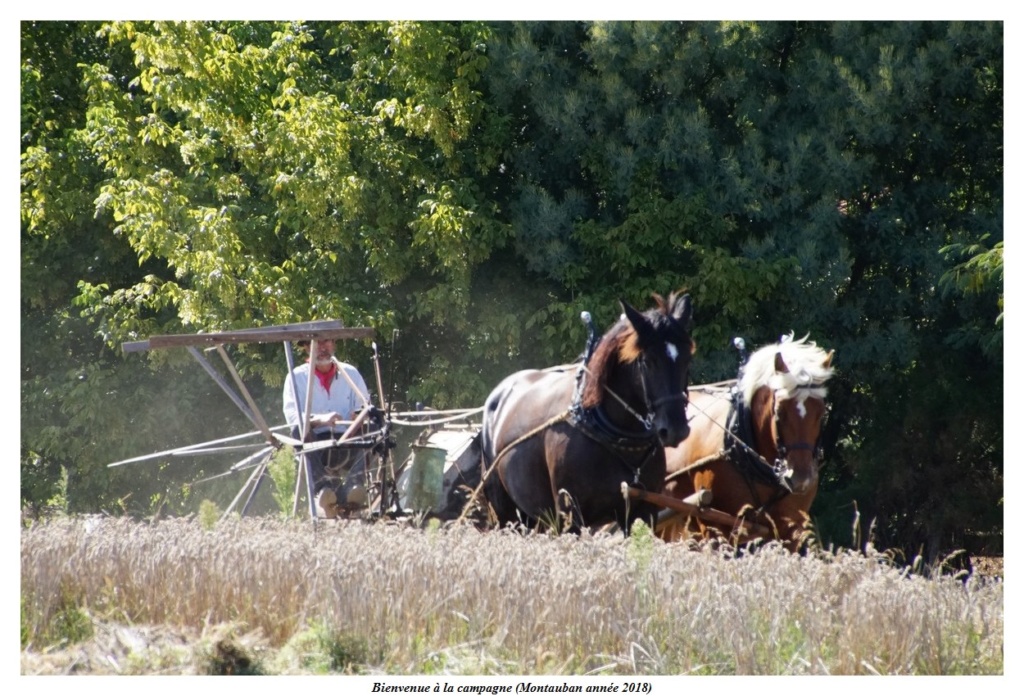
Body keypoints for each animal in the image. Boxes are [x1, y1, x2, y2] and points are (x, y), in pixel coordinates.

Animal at [479, 292, 696, 532]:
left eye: (687, 359)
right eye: (647, 361)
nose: (676, 429)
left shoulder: (644, 510)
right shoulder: (570, 514)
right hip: (504, 512)